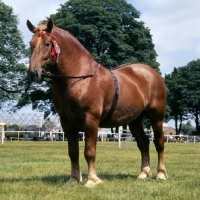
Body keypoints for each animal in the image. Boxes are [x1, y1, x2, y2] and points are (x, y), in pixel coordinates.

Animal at [26, 18, 167, 188]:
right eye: (31, 44)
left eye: (47, 44)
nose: (33, 73)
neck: (80, 78)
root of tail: (152, 73)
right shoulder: (66, 122)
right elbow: (73, 152)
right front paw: (74, 178)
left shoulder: (91, 119)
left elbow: (89, 151)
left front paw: (92, 180)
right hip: (134, 120)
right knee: (143, 142)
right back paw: (144, 173)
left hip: (156, 116)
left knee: (159, 142)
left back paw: (161, 174)